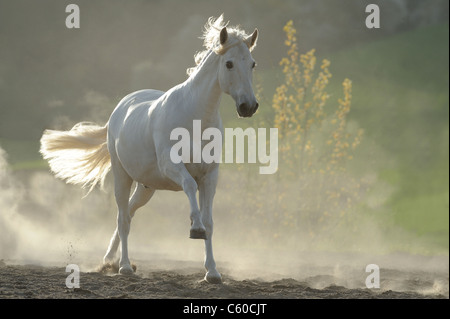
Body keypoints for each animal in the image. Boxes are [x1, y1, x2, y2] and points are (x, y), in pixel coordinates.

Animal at [40, 16, 258, 284]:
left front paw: (213, 273)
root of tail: (120, 108)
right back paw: (123, 266)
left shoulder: (210, 176)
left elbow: (210, 221)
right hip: (121, 177)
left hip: (146, 187)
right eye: (229, 63)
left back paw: (109, 260)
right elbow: (190, 187)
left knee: (129, 214)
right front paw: (195, 228)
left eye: (252, 63)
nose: (249, 106)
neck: (195, 118)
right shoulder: (172, 166)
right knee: (123, 218)